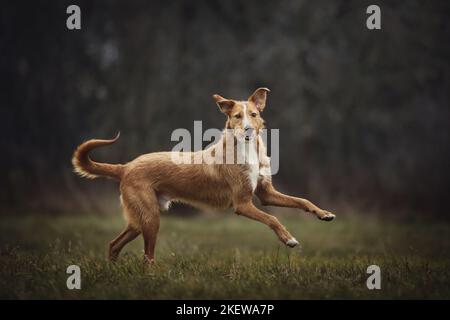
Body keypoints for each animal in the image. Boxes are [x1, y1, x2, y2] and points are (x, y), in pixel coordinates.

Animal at [73, 87, 334, 262]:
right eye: (237, 116)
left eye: (253, 114)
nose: (248, 129)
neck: (246, 148)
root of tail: (126, 166)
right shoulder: (242, 204)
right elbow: (272, 218)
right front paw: (288, 239)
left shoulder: (266, 193)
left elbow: (302, 200)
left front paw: (323, 213)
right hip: (150, 219)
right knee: (147, 257)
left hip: (139, 220)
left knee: (113, 245)